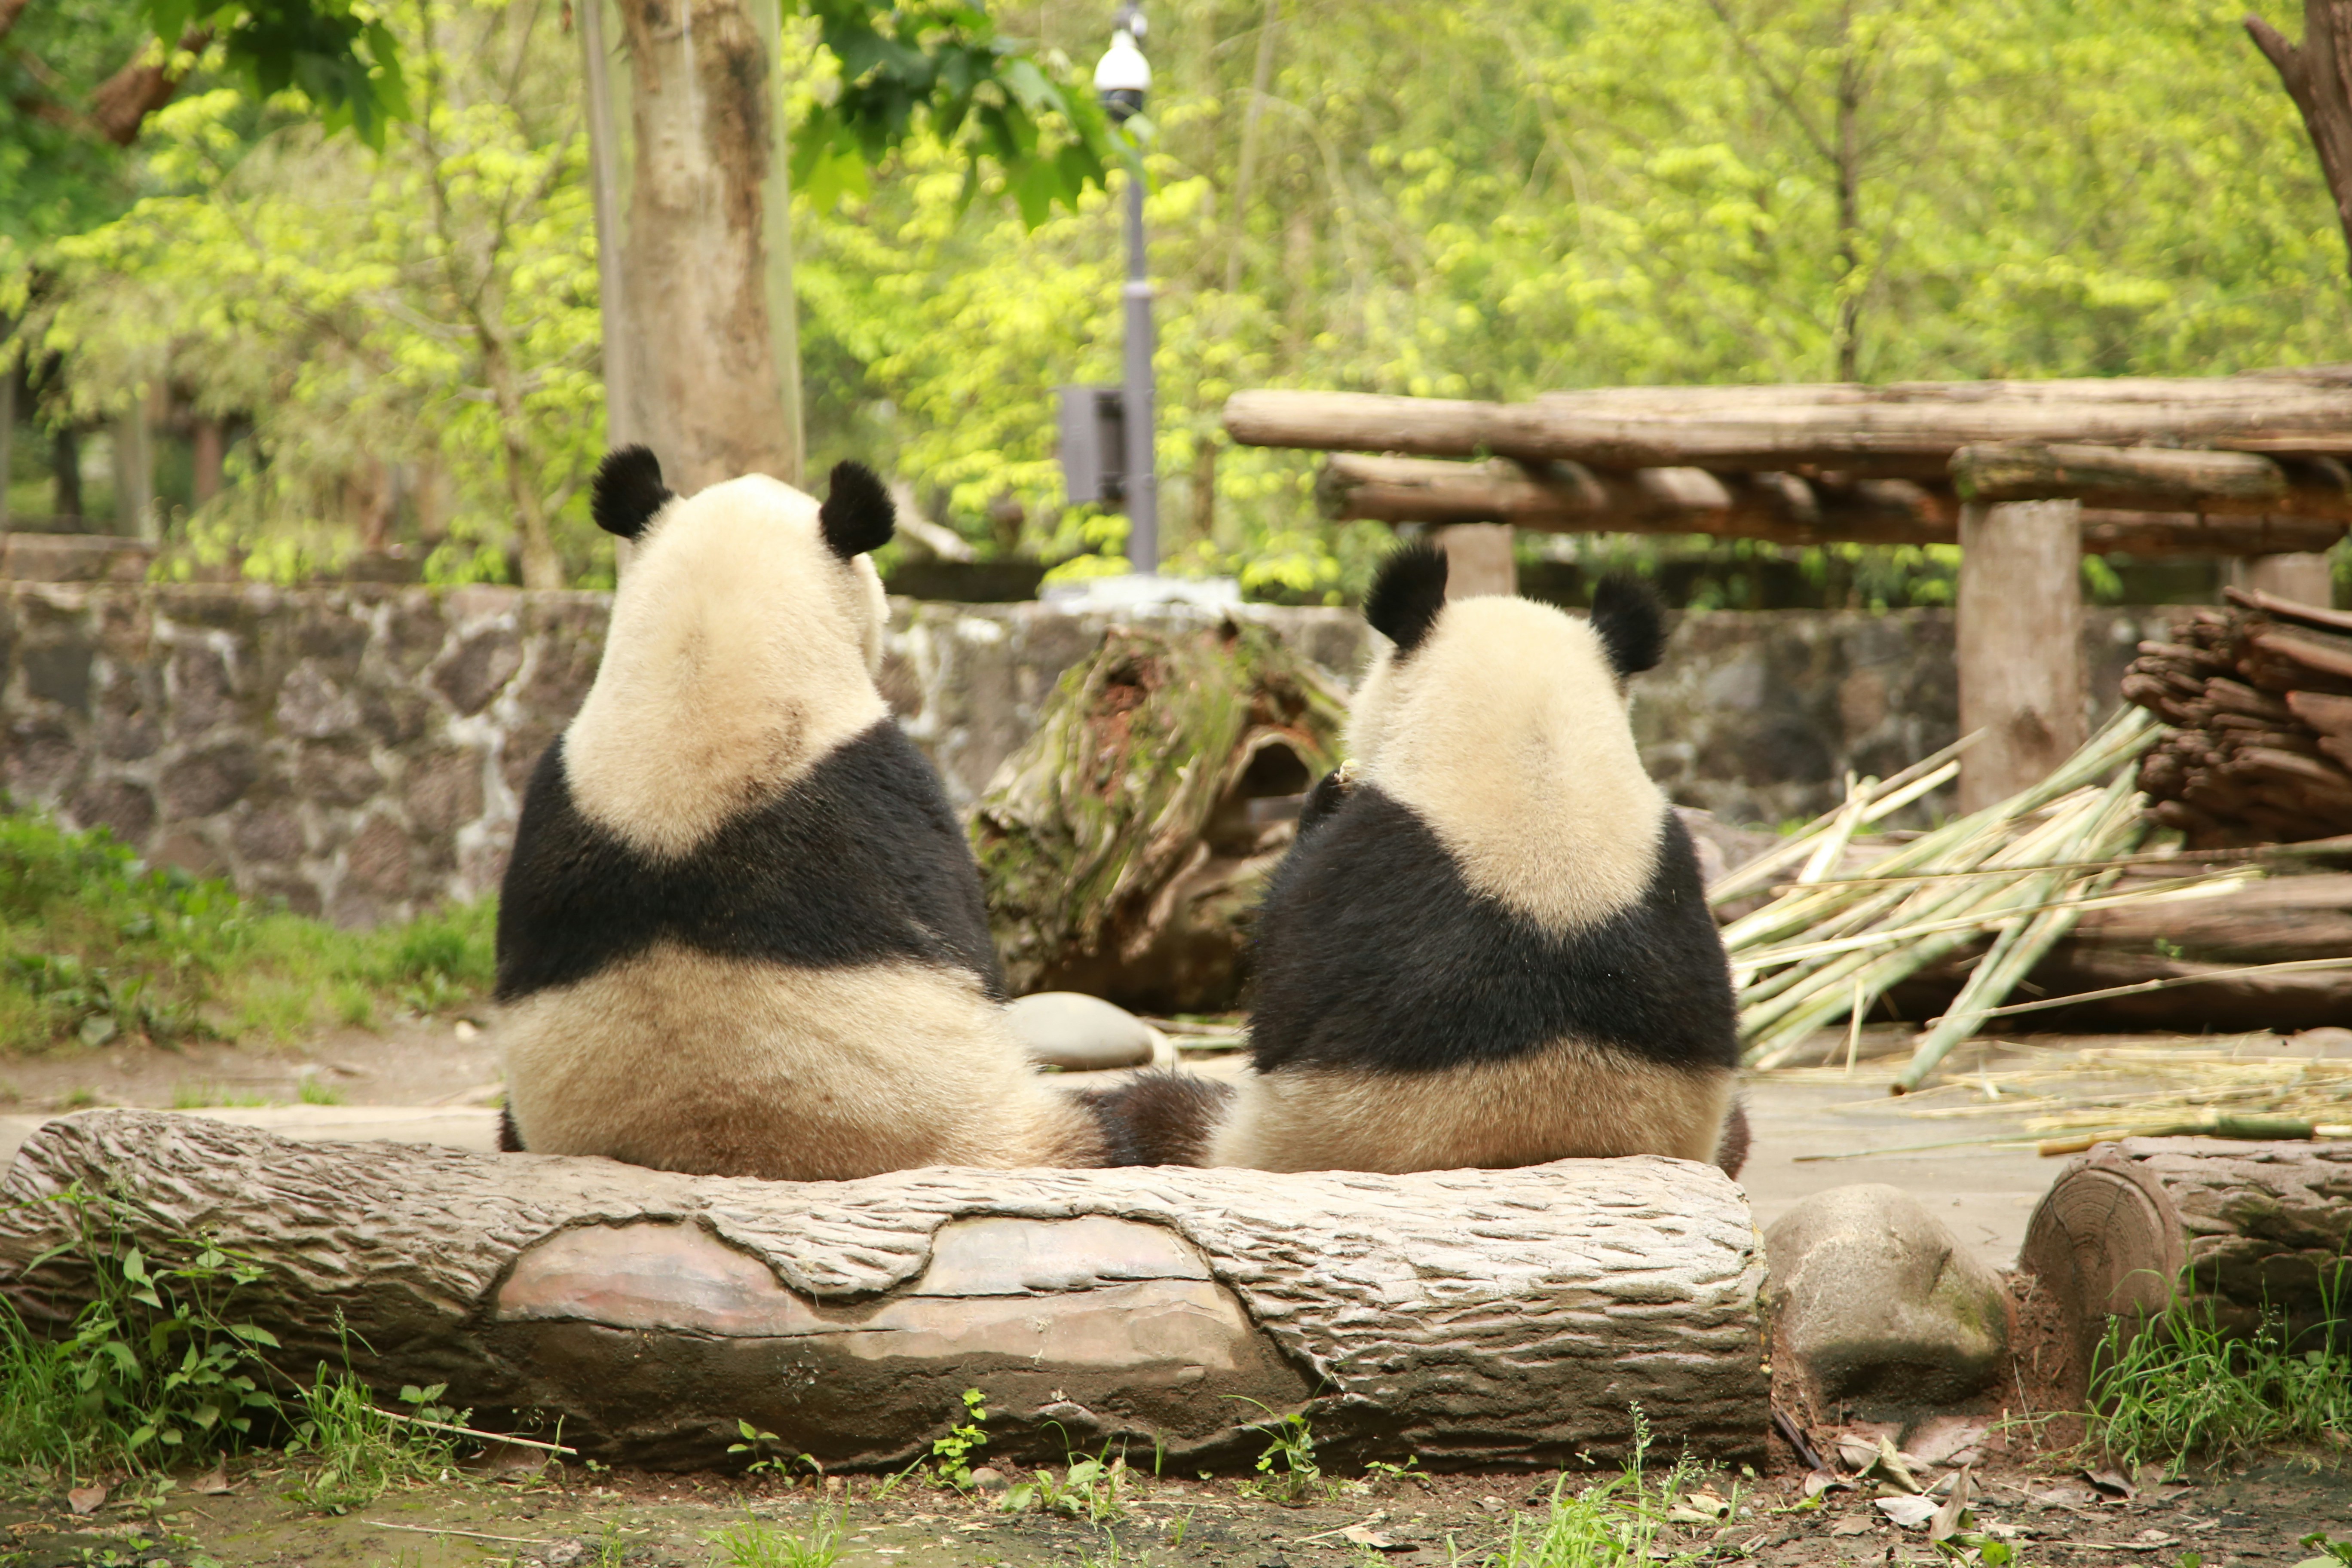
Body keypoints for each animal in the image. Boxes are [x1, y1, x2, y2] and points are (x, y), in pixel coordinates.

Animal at [1090, 541, 1746, 1176]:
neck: (1540, 767)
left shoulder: (1352, 876)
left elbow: (1281, 989)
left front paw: (1329, 794)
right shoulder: (1674, 870)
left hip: (1269, 1138)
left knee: (1147, 1112)